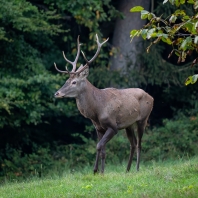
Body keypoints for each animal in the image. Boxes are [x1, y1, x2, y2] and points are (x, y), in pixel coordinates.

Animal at [54, 34, 153, 174]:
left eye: (74, 82)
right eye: (66, 80)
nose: (57, 93)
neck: (96, 111)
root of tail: (151, 97)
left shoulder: (113, 126)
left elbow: (99, 146)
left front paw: (99, 171)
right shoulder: (99, 128)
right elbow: (102, 149)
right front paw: (96, 171)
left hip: (143, 119)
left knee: (139, 144)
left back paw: (137, 169)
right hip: (128, 125)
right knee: (133, 143)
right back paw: (127, 170)